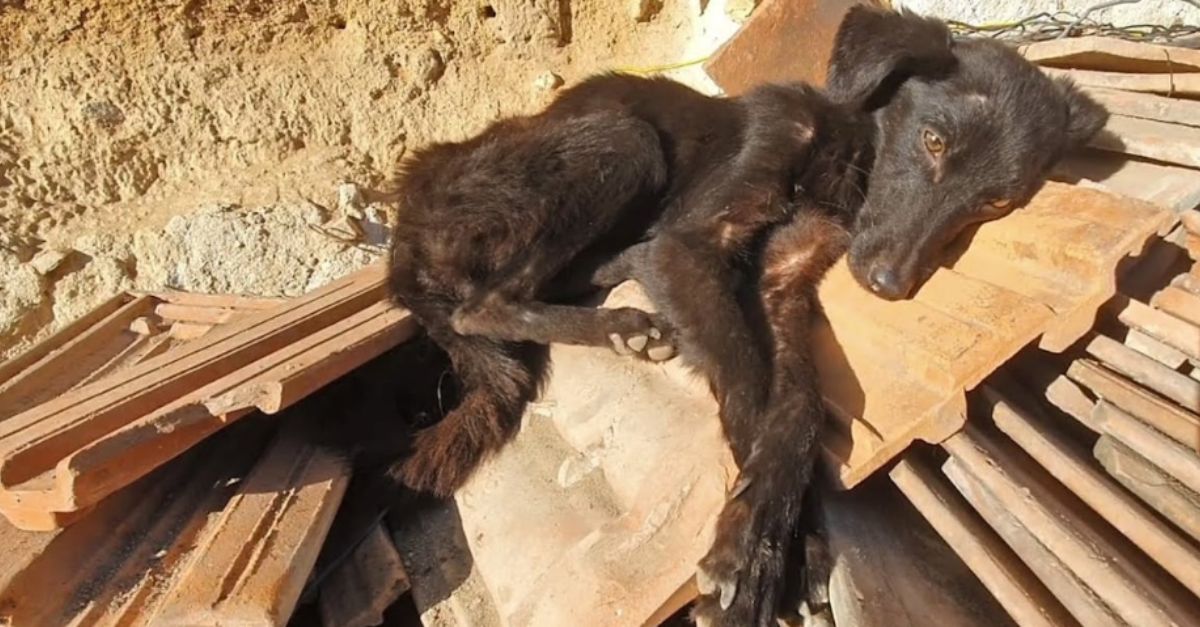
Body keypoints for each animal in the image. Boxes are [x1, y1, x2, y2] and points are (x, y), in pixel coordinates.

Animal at [386, 6, 1104, 624]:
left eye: (997, 202)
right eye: (932, 140)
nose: (888, 284)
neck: (842, 155)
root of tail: (406, 223)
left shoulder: (780, 283)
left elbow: (799, 409)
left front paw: (786, 545)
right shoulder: (692, 243)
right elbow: (748, 383)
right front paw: (761, 554)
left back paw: (622, 300)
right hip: (621, 141)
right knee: (482, 307)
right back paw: (619, 324)